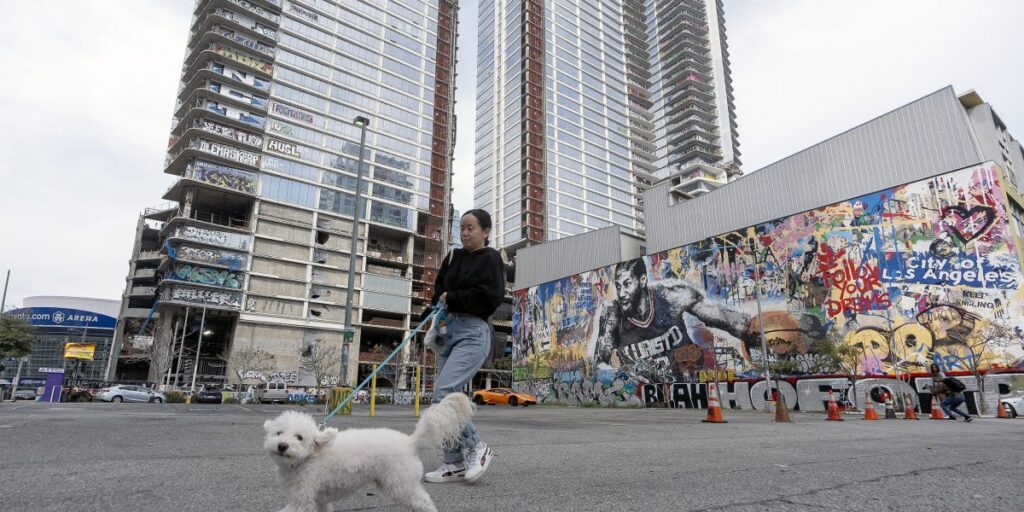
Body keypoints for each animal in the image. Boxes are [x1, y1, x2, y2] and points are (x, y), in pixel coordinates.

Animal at [264, 393, 471, 509]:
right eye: (279, 433)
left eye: (299, 437)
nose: (282, 446)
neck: (308, 459)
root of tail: (410, 441)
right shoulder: (319, 500)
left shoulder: (303, 498)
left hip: (401, 485)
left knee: (425, 503)